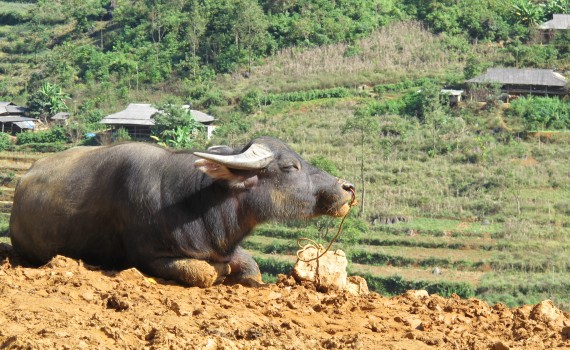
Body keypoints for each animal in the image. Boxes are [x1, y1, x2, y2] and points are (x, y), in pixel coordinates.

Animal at [8, 137, 352, 288]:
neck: (197, 205)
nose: (347, 188)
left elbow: (252, 268)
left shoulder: (226, 248)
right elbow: (204, 273)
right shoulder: (149, 257)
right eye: (290, 167)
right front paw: (218, 272)